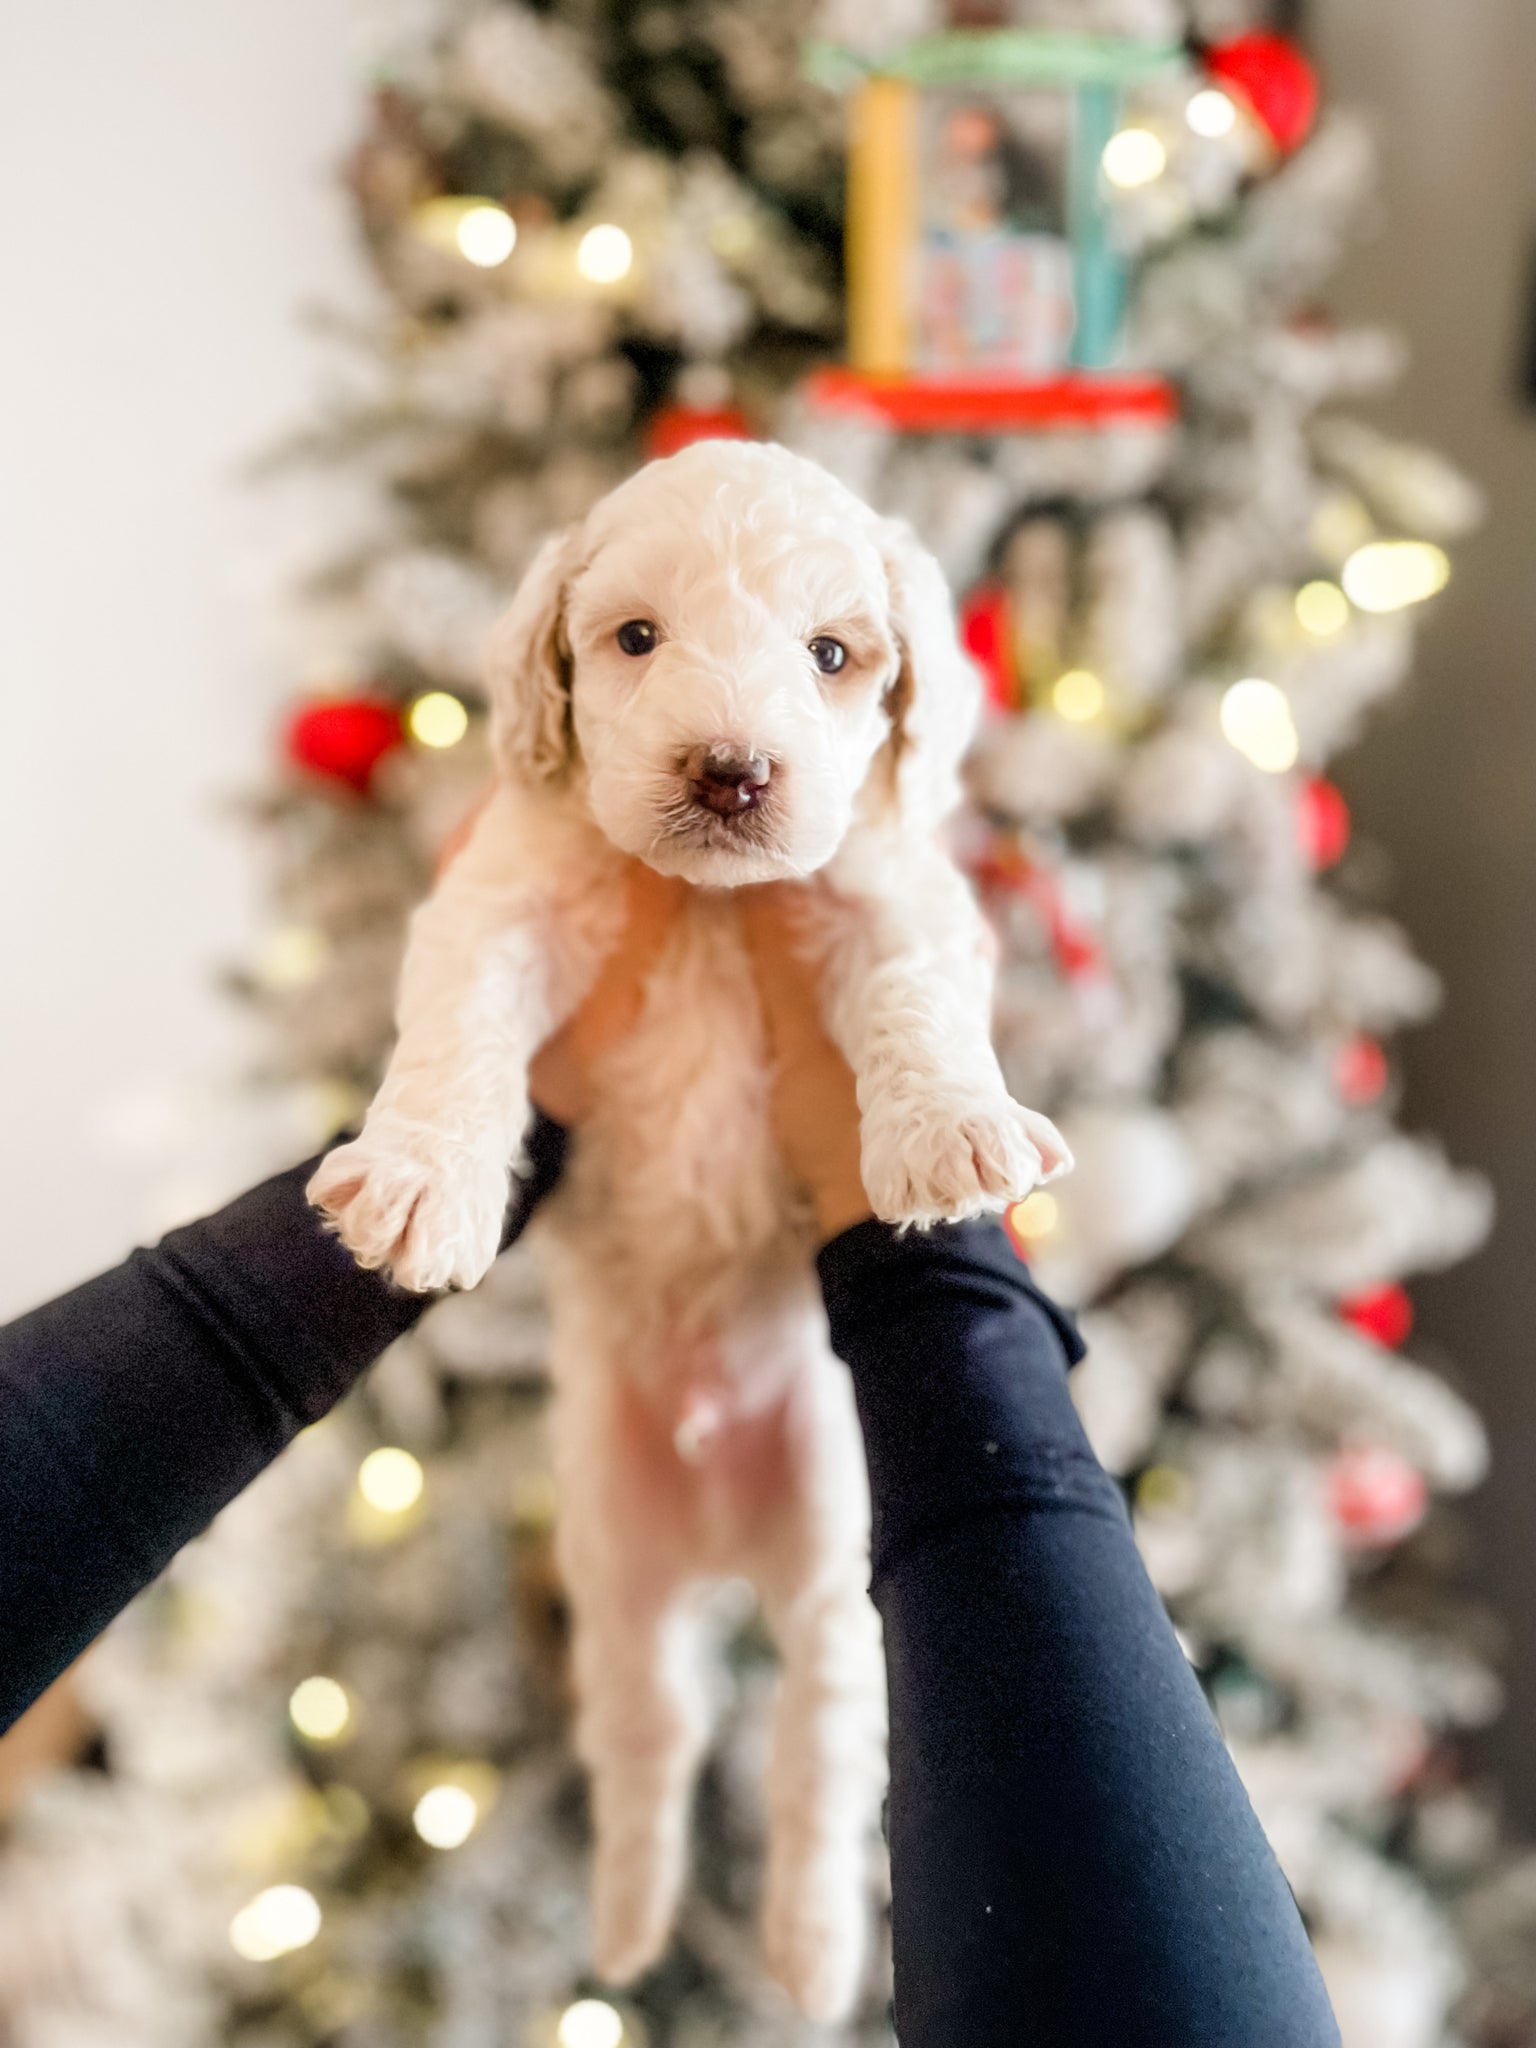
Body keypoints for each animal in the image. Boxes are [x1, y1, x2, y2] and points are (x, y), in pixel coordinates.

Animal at [309, 436, 1073, 2015]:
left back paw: (810, 1953)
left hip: (836, 1561)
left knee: (816, 1757)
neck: (715, 907)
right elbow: (458, 1039)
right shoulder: (503, 901)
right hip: (616, 1566)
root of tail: (724, 1534)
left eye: (834, 655)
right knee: (654, 1742)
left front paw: (954, 1131)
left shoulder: (891, 899)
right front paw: (418, 1182)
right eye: (636, 639)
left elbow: (919, 1005)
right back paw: (628, 1925)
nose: (730, 774)